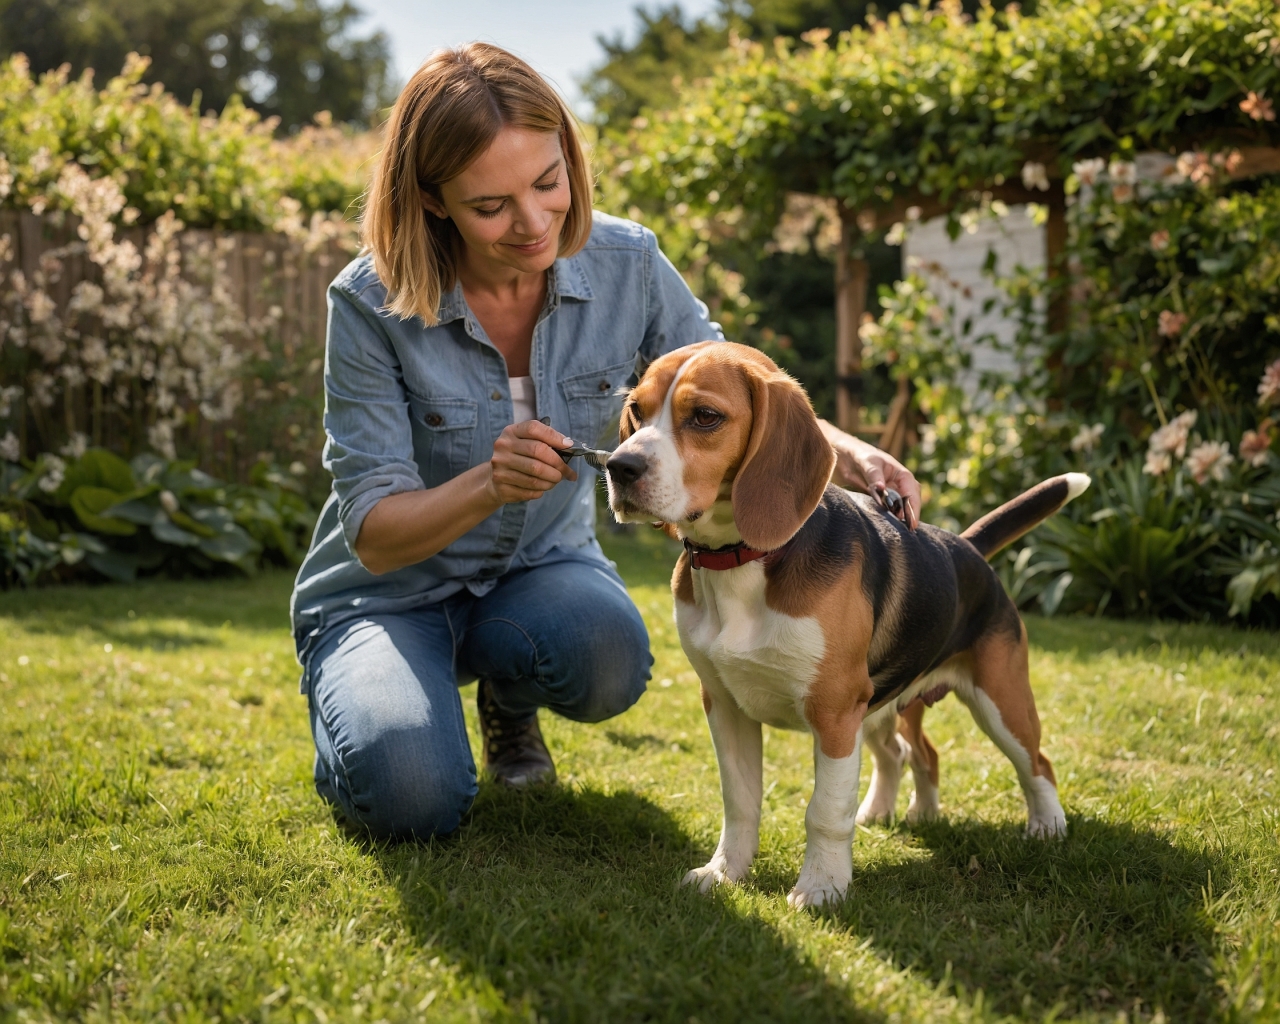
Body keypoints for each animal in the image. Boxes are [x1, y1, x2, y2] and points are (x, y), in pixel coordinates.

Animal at [604, 343, 1085, 906]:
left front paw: (822, 887)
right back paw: (907, 813)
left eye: (704, 416)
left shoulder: (834, 712)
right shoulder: (725, 705)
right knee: (914, 753)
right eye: (637, 410)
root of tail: (967, 547)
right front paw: (724, 873)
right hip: (882, 706)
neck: (743, 558)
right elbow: (739, 802)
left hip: (997, 700)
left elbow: (825, 812)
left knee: (1037, 763)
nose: (618, 466)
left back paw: (1047, 826)